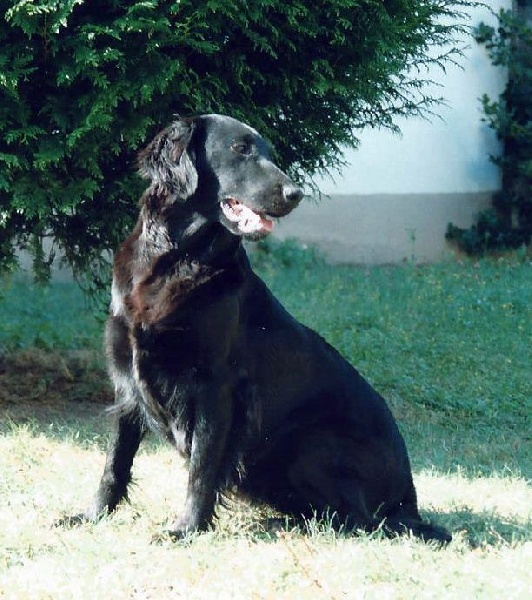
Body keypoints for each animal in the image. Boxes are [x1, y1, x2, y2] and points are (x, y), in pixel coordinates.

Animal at [71, 113, 448, 544]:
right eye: (241, 150)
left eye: (269, 152)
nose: (295, 193)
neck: (176, 258)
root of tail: (409, 498)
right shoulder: (127, 382)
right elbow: (115, 462)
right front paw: (93, 515)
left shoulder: (215, 388)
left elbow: (201, 469)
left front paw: (186, 529)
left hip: (311, 443)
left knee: (359, 520)